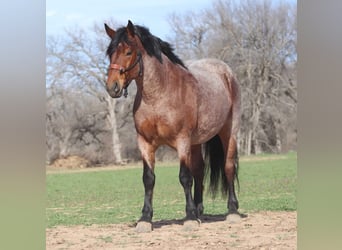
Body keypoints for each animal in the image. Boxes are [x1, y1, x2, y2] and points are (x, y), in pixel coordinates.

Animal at [105, 20, 242, 232]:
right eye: (110, 53)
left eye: (128, 52)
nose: (112, 87)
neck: (159, 95)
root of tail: (226, 73)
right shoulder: (145, 143)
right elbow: (148, 179)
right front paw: (145, 219)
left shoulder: (182, 141)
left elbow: (185, 177)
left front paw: (189, 218)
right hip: (196, 143)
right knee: (199, 171)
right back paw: (199, 210)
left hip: (229, 133)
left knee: (228, 167)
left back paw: (232, 211)